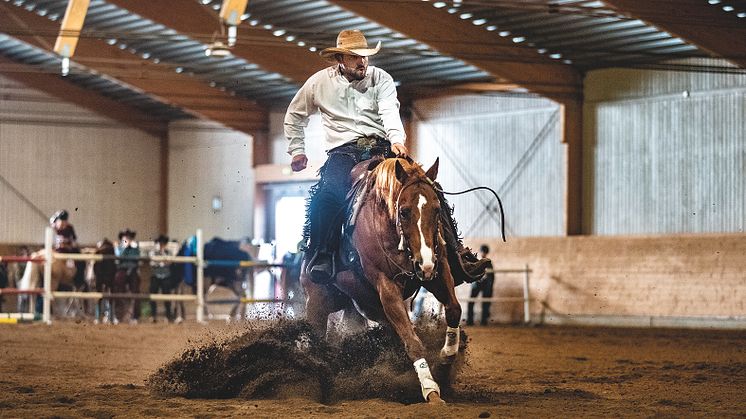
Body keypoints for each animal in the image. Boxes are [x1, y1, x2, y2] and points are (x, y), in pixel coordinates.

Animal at [300, 157, 460, 404]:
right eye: (404, 211)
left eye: (436, 209)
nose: (424, 264)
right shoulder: (387, 286)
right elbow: (412, 341)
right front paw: (431, 390)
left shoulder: (439, 269)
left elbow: (454, 310)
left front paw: (444, 363)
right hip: (317, 304)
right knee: (316, 342)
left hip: (365, 307)